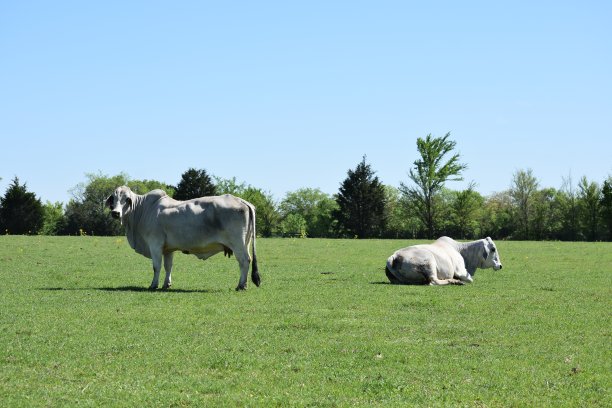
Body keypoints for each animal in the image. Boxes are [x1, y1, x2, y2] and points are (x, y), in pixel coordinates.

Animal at [106, 185, 260, 290]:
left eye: (127, 199)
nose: (115, 213)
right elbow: (168, 266)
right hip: (245, 243)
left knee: (244, 261)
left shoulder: (155, 244)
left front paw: (153, 285)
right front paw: (166, 284)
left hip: (238, 244)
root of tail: (242, 201)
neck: (142, 210)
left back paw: (241, 285)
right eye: (113, 198)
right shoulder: (167, 249)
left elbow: (156, 266)